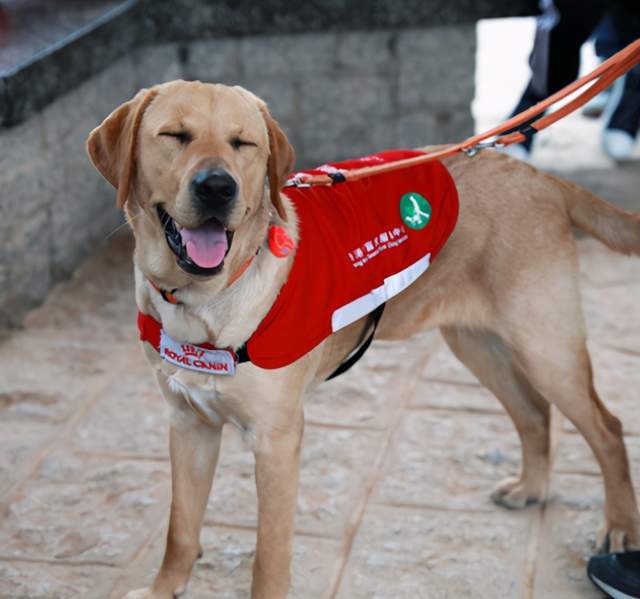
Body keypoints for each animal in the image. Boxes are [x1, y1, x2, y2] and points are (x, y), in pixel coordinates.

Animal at [86, 81, 640, 599]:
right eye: (174, 135)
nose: (218, 188)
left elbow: (269, 555)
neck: (202, 301)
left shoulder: (277, 440)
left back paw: (619, 528)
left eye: (243, 143)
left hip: (546, 346)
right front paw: (163, 589)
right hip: (477, 344)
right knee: (534, 412)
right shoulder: (188, 424)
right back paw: (532, 488)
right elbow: (180, 528)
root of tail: (546, 180)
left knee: (607, 428)